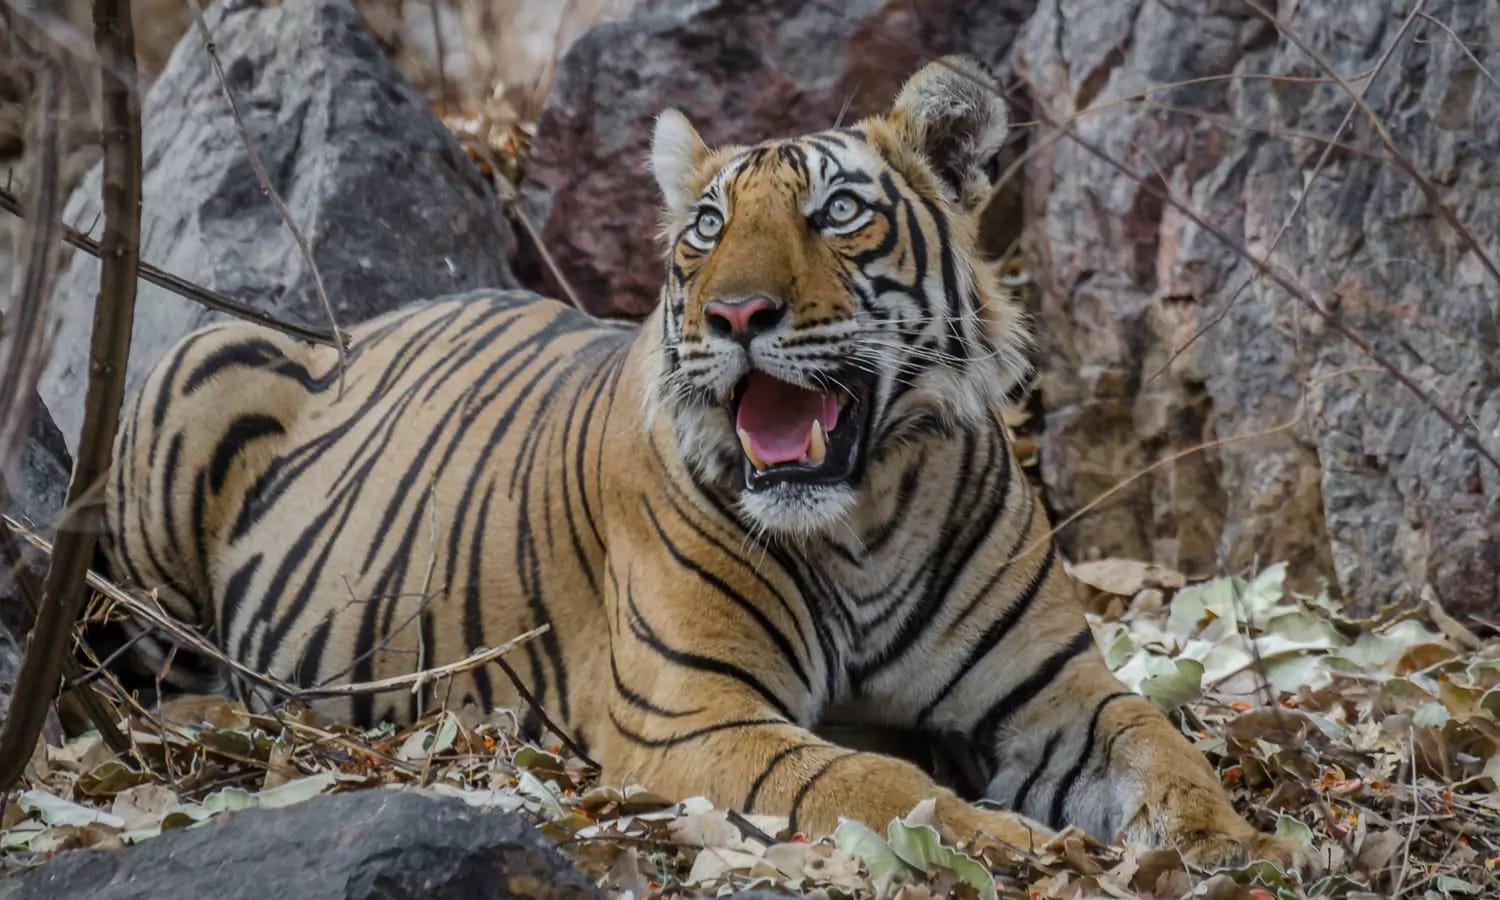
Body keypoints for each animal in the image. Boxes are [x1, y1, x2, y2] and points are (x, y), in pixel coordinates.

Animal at [105, 58, 1308, 870]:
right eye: (706, 228)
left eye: (839, 212)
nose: (735, 314)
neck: (863, 523)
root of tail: (346, 325)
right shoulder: (697, 716)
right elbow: (864, 780)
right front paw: (1000, 842)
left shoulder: (1049, 688)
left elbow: (1158, 741)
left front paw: (1235, 842)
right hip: (197, 384)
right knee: (135, 680)